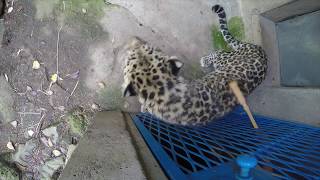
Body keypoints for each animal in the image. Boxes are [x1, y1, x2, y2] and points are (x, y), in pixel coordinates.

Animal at [122, 4, 268, 125]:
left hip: (224, 59)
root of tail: (260, 51)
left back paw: (204, 60)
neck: (161, 90)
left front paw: (143, 107)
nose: (133, 38)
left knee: (218, 53)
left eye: (150, 49)